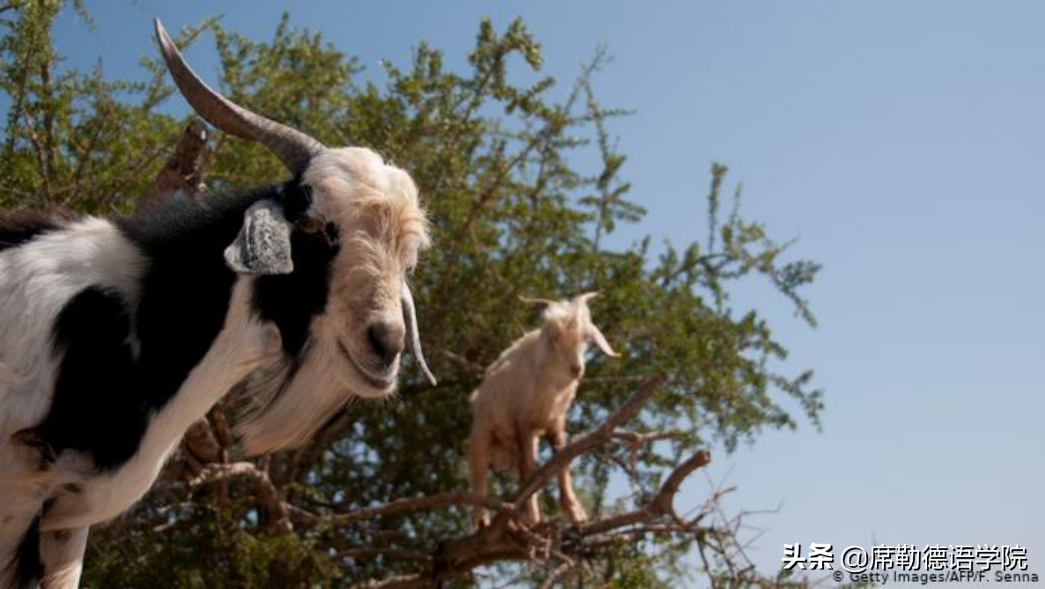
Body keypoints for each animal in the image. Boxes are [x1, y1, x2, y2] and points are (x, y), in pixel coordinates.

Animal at [468, 294, 618, 528]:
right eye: (553, 337)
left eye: (586, 338)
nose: (577, 368)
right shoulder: (523, 422)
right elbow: (529, 470)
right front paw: (533, 516)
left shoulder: (556, 422)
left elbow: (561, 461)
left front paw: (575, 512)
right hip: (483, 427)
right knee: (480, 467)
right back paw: (483, 518)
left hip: (519, 443)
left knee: (520, 472)